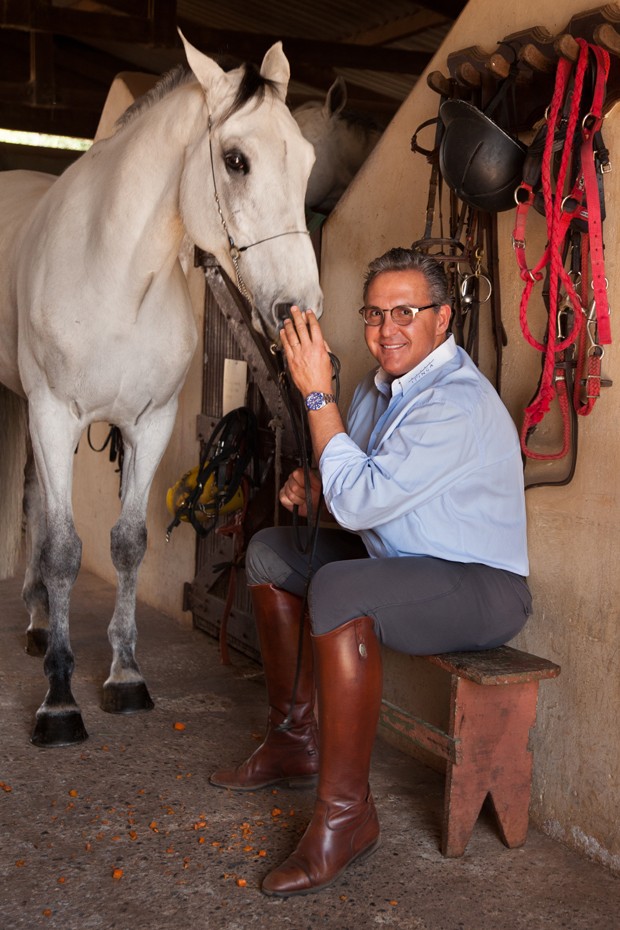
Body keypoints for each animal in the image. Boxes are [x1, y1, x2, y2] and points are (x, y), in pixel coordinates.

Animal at [0, 30, 320, 748]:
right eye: (236, 160)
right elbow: (65, 550)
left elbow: (127, 544)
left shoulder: (150, 423)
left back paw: (38, 622)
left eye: (309, 160)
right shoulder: (55, 414)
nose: (297, 309)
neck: (114, 277)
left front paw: (124, 676)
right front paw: (59, 701)